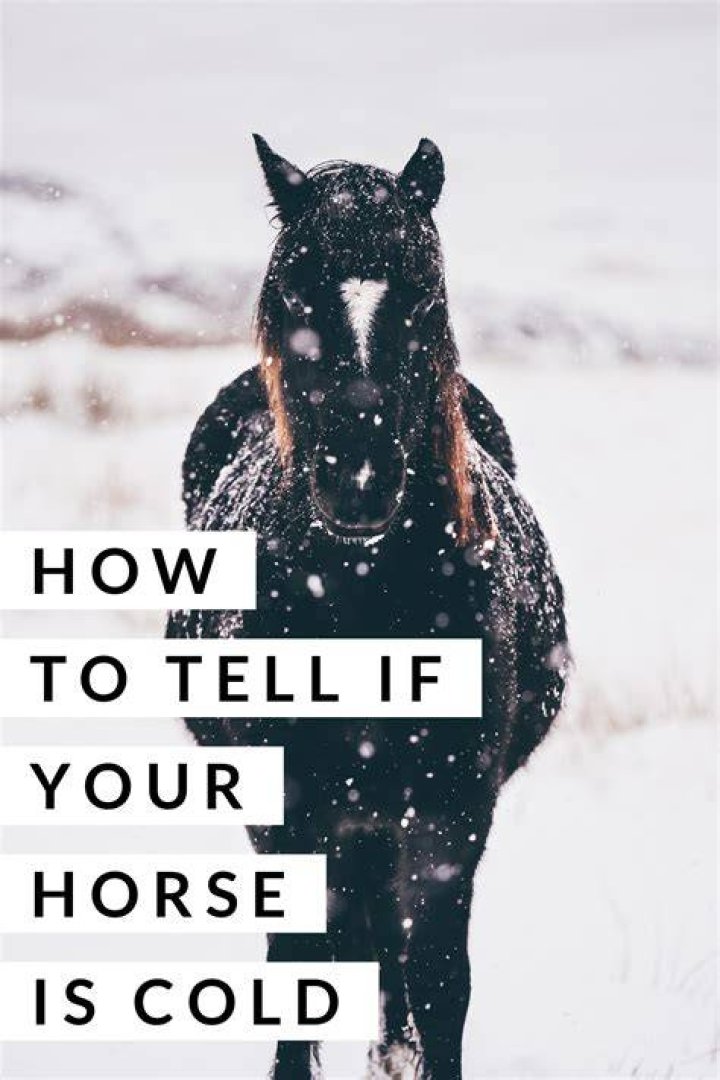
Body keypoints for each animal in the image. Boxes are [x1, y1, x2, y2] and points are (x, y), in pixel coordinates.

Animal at [166, 135, 569, 1080]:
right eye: (292, 292)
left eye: (422, 293)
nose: (358, 483)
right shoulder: (288, 807)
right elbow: (297, 963)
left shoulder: (452, 812)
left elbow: (441, 975)